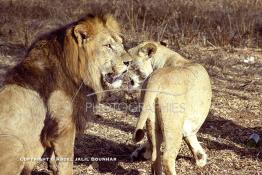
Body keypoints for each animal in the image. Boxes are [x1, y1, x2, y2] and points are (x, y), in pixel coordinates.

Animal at [0, 15, 131, 175]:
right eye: (108, 46)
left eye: (121, 44)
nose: (129, 62)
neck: (79, 73)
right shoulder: (65, 127)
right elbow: (67, 161)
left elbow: (53, 157)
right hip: (16, 144)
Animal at [128, 41, 212, 174]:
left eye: (130, 63)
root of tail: (156, 78)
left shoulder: (187, 128)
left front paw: (200, 158)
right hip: (173, 126)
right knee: (167, 157)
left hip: (152, 120)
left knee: (156, 154)